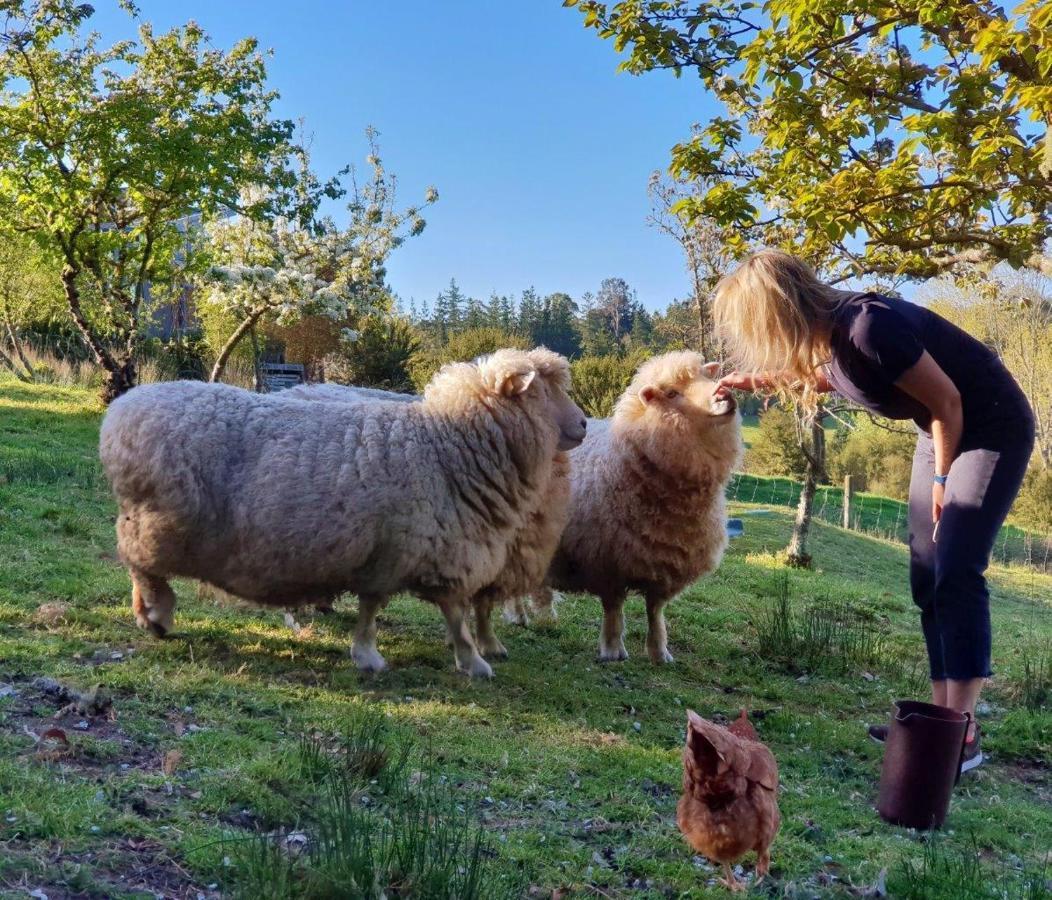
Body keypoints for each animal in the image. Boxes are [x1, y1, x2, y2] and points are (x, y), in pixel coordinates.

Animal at [523, 349, 740, 660]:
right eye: (672, 393)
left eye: (707, 376)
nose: (725, 395)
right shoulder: (607, 561)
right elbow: (613, 608)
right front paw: (613, 649)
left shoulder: (665, 563)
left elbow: (655, 612)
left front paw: (659, 651)